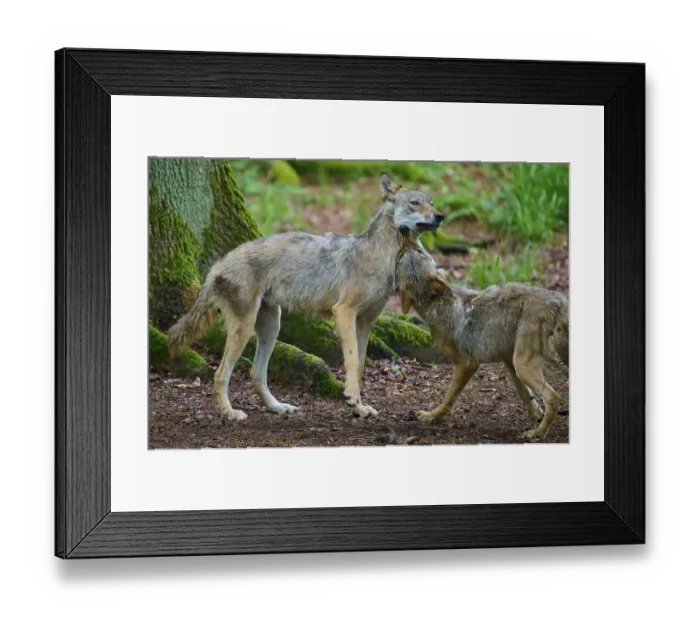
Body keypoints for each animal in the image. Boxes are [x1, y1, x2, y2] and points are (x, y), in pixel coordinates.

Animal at [167, 173, 444, 421]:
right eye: (414, 203)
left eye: (431, 202)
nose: (440, 216)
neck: (381, 257)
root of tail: (219, 263)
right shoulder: (343, 311)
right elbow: (352, 361)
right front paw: (351, 398)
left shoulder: (365, 323)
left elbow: (361, 366)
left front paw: (360, 408)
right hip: (244, 328)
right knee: (221, 374)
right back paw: (230, 413)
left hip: (271, 326)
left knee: (256, 375)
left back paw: (278, 407)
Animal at [395, 230, 569, 440]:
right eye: (401, 255)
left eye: (419, 251)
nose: (404, 229)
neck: (435, 304)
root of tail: (557, 300)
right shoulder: (507, 358)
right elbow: (524, 393)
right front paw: (536, 413)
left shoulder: (467, 364)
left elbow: (449, 397)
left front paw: (432, 416)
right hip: (531, 361)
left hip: (524, 364)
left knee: (554, 398)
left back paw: (537, 434)